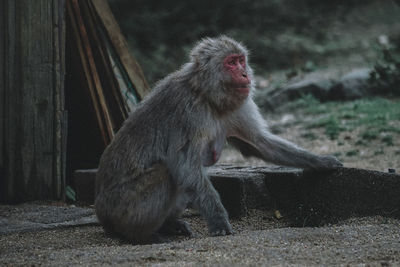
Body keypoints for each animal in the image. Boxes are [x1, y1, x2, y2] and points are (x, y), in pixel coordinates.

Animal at [94, 35, 340, 245]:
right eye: (231, 63)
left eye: (241, 60)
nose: (246, 75)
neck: (205, 95)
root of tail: (101, 212)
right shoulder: (188, 112)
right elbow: (186, 165)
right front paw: (219, 219)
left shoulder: (238, 106)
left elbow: (260, 144)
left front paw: (321, 161)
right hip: (122, 208)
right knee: (167, 173)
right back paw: (139, 235)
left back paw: (169, 225)